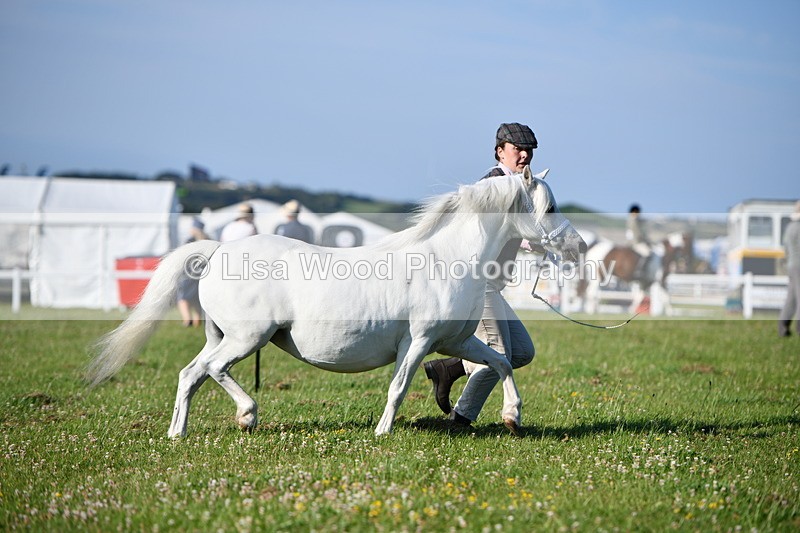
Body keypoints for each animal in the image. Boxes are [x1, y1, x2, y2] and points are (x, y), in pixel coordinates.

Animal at [88, 166, 586, 438]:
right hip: (248, 337)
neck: (446, 259)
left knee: (191, 374)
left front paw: (512, 416)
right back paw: (247, 416)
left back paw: (179, 432)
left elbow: (499, 364)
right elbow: (399, 386)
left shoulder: (455, 343)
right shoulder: (418, 342)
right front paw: (383, 432)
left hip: (222, 336)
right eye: (547, 208)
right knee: (211, 370)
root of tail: (218, 249)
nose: (579, 247)